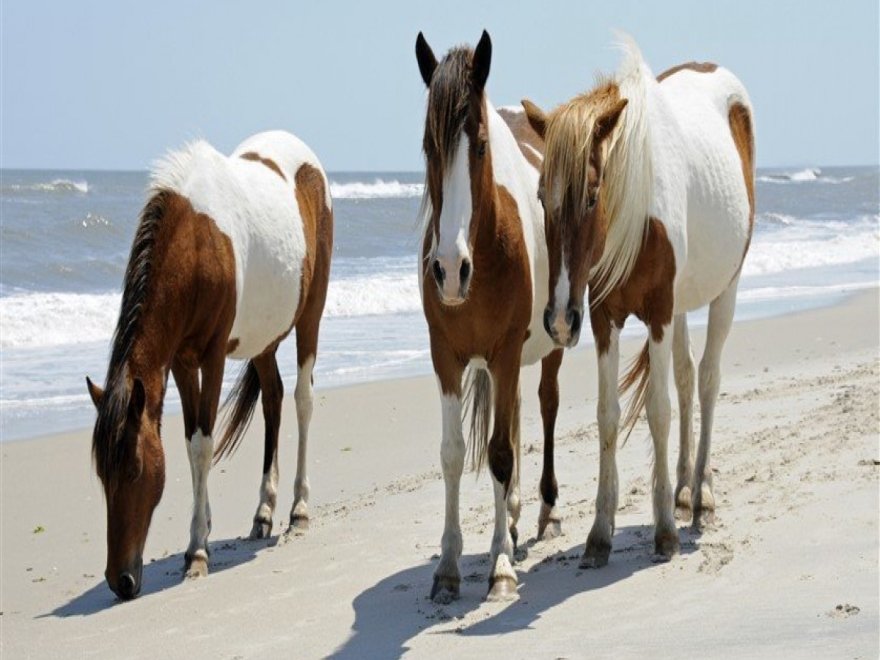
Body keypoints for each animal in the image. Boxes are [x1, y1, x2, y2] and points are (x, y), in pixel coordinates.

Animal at [86, 131, 334, 600]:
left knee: (302, 400)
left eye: (135, 470)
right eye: (102, 474)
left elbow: (204, 443)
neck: (196, 244)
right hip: (263, 339)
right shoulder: (182, 361)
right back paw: (263, 512)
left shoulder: (213, 355)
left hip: (310, 314)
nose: (121, 580)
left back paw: (298, 510)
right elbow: (190, 441)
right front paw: (200, 535)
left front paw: (198, 551)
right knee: (273, 398)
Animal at [416, 32, 568, 604]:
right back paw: (519, 515)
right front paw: (448, 567)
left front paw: (500, 565)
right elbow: (454, 453)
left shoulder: (504, 353)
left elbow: (500, 452)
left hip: (549, 344)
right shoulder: (445, 357)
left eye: (480, 146)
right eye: (428, 146)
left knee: (545, 406)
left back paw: (544, 510)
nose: (448, 270)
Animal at [524, 34, 756, 564]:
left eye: (592, 196)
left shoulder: (657, 313)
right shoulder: (603, 318)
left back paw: (702, 496)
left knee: (707, 380)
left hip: (725, 290)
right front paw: (600, 533)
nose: (559, 321)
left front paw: (665, 531)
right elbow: (608, 416)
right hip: (683, 302)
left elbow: (657, 410)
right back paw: (686, 488)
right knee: (688, 378)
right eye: (542, 198)